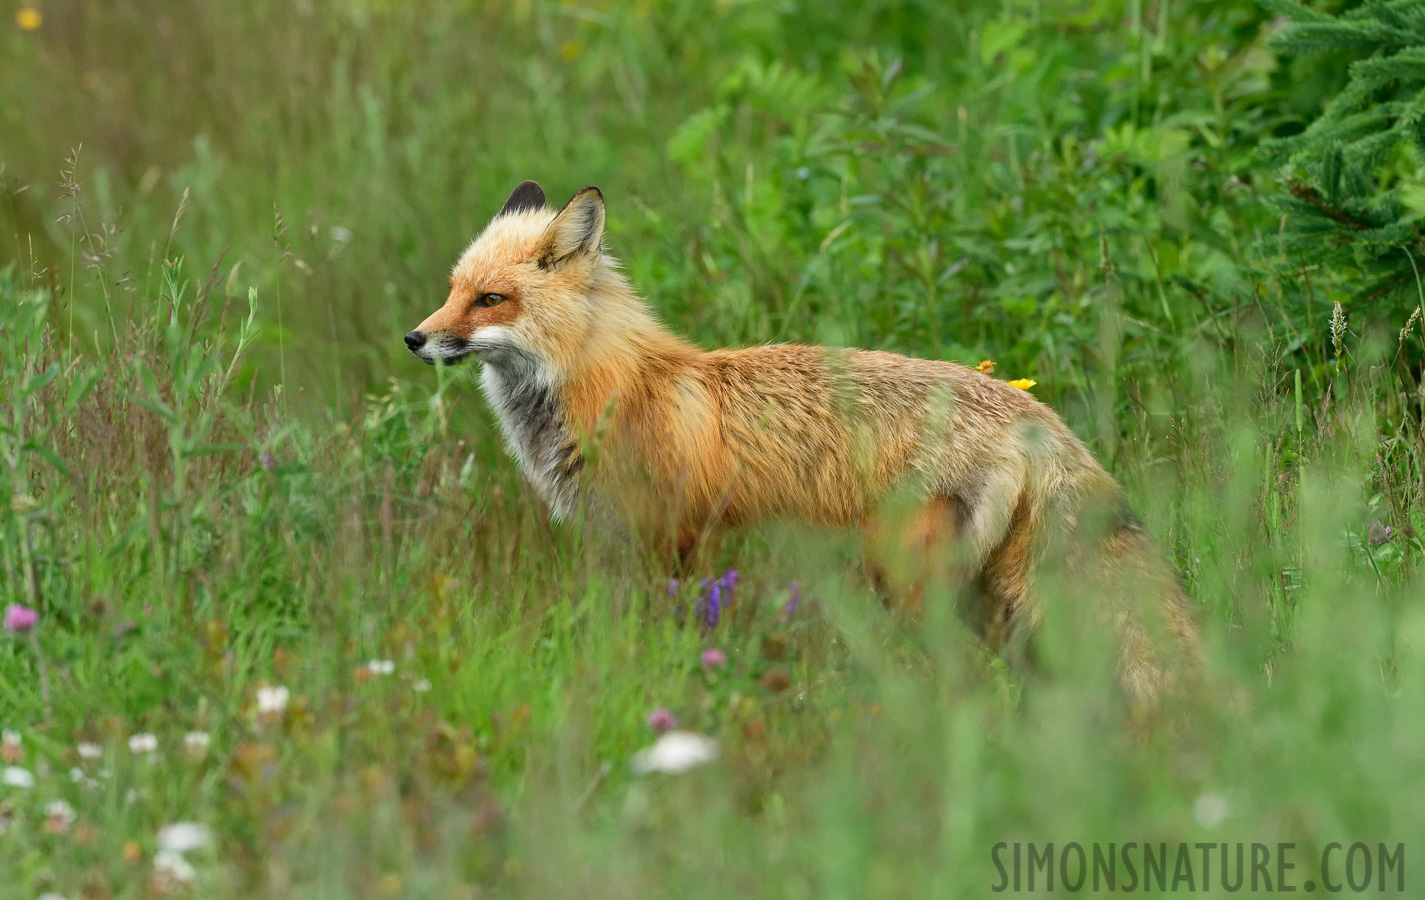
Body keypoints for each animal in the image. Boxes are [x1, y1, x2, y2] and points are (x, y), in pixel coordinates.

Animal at [407, 182, 1197, 714]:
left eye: (490, 300)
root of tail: (1036, 414)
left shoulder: (672, 540)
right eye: (451, 290)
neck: (611, 388)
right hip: (991, 601)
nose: (415, 338)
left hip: (910, 582)